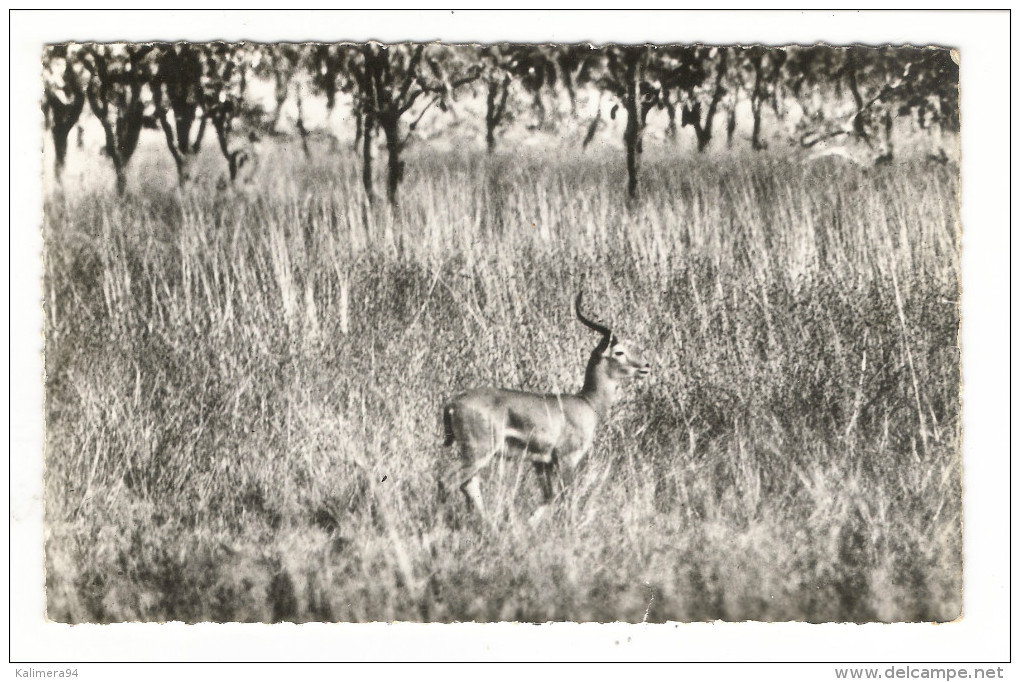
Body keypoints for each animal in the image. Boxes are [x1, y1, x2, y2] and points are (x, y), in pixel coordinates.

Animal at [440, 289, 648, 517]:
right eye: (618, 351)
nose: (645, 366)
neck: (587, 403)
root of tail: (452, 404)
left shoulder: (542, 463)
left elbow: (550, 497)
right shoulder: (567, 459)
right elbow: (566, 498)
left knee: (468, 485)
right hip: (479, 452)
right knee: (447, 481)